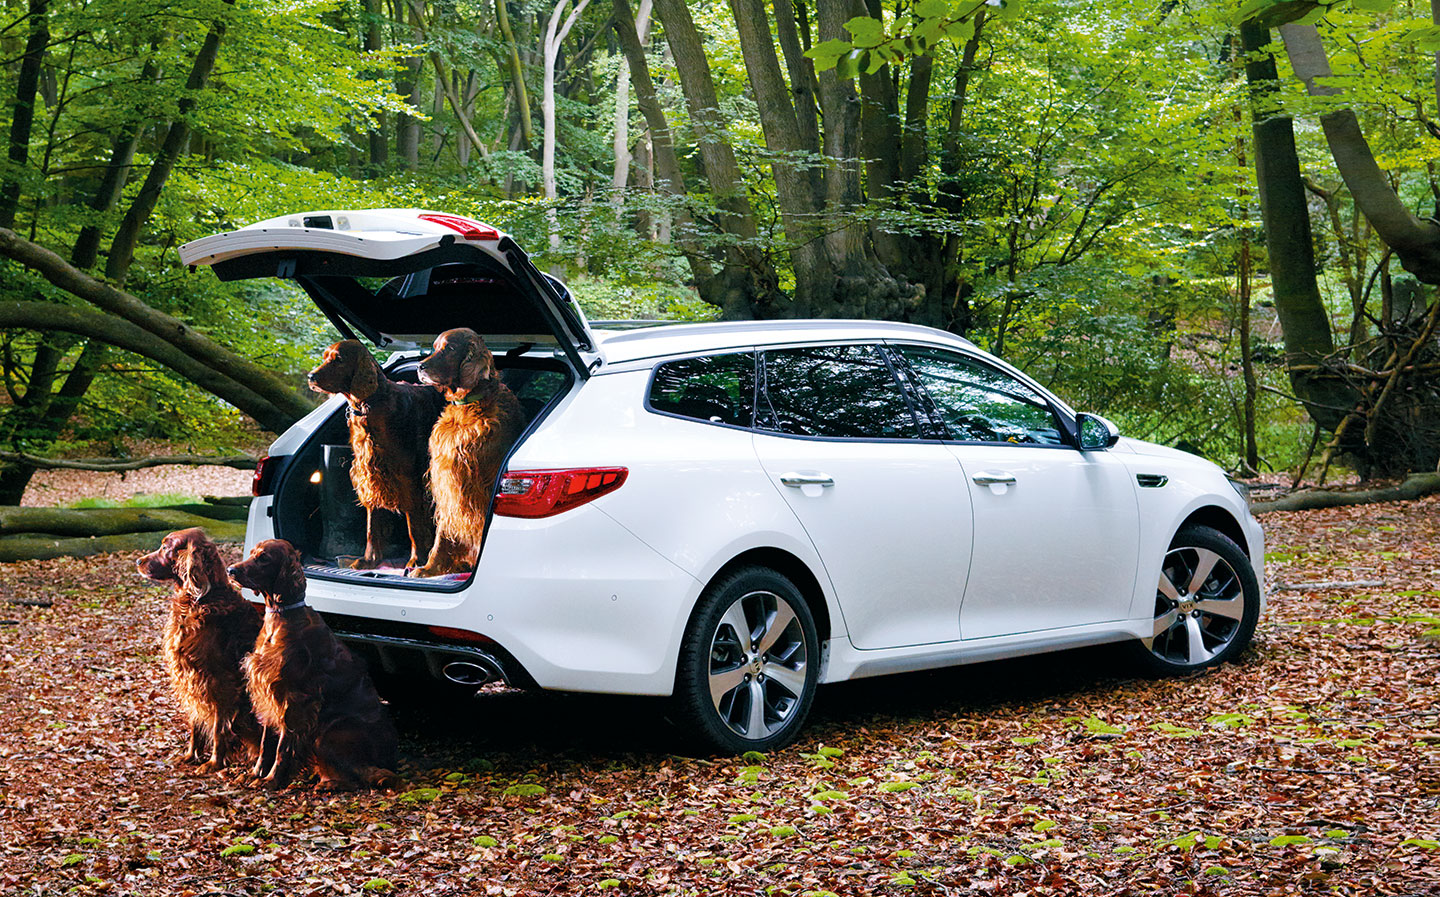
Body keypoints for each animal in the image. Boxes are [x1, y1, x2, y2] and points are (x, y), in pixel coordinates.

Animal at [136, 529, 263, 777]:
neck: (199, 601)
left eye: (165, 547)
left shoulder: (219, 681)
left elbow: (218, 729)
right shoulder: (191, 678)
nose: (138, 561)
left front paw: (214, 763)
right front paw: (191, 755)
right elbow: (195, 723)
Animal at [228, 535, 400, 789]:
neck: (281, 615)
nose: (231, 570)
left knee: (361, 777)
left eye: (264, 558)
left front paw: (272, 779)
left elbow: (282, 747)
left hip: (328, 732)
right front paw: (256, 773)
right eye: (251, 554)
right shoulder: (268, 690)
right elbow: (265, 742)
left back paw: (329, 783)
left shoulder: (295, 699)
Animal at [311, 339, 446, 573]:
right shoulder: (370, 476)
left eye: (338, 359)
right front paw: (369, 560)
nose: (311, 376)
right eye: (325, 357)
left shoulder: (408, 480)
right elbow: (371, 527)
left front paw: (416, 560)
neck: (369, 405)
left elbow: (414, 526)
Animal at [408, 328, 527, 575]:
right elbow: (442, 534)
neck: (467, 406)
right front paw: (429, 568)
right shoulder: (446, 481)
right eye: (434, 347)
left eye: (450, 348)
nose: (420, 367)